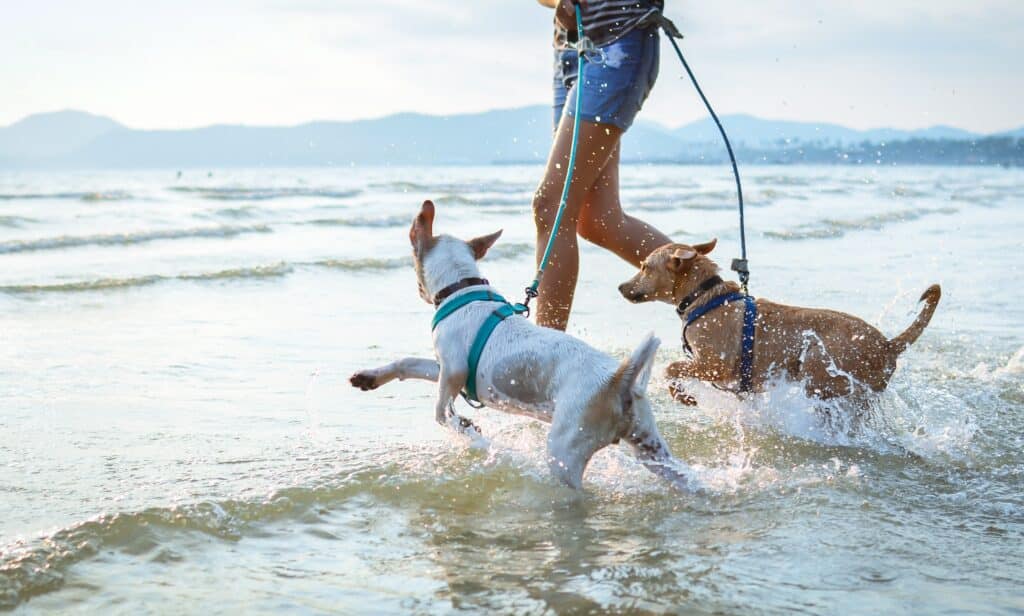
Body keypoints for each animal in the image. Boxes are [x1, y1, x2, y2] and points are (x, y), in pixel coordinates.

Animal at [348, 201, 692, 489]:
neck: (462, 288)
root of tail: (620, 380)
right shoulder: (444, 367)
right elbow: (408, 363)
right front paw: (370, 377)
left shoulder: (453, 370)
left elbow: (441, 412)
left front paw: (467, 429)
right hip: (651, 449)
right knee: (684, 476)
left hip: (565, 451)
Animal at [614, 238, 942, 403]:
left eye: (644, 267)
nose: (620, 287)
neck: (703, 297)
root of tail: (888, 345)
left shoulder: (715, 365)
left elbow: (671, 368)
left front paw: (682, 396)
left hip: (820, 369)